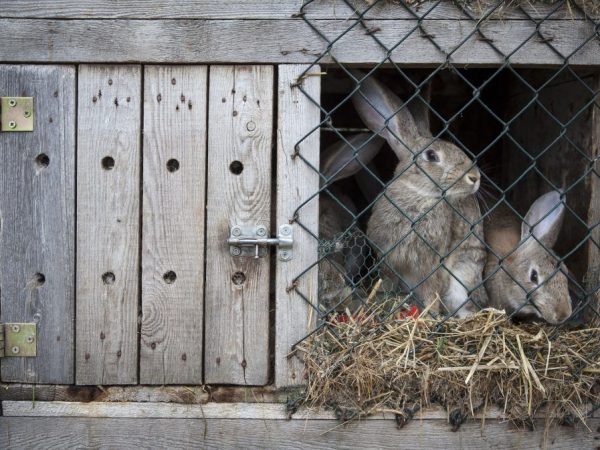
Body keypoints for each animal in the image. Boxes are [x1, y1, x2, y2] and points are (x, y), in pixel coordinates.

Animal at [352, 71, 488, 316]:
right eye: (432, 156)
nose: (475, 177)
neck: (419, 195)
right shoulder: (388, 259)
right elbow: (388, 280)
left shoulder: (433, 263)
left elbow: (431, 288)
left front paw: (430, 314)